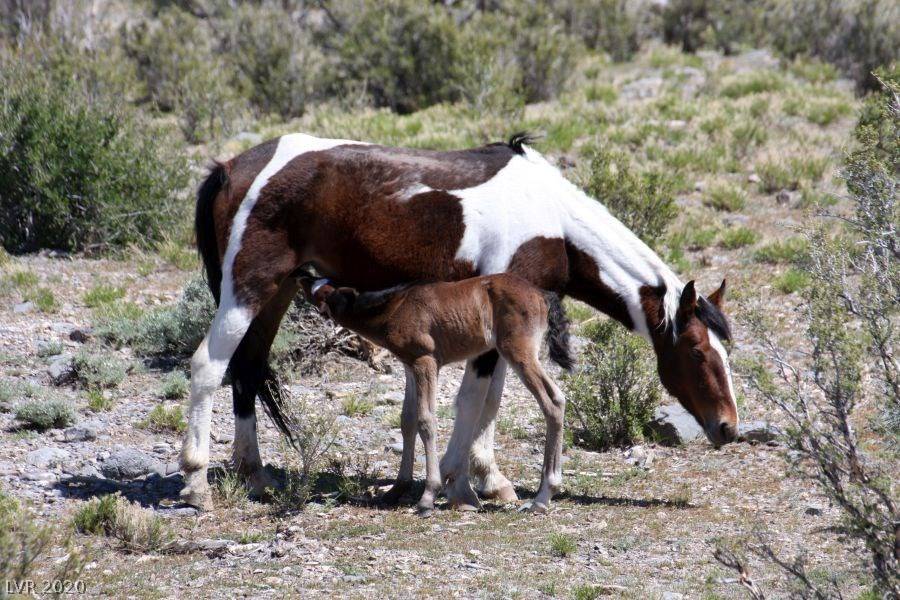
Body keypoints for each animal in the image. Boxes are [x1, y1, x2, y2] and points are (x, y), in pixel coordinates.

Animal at [298, 272, 572, 516]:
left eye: (323, 294)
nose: (304, 278)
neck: (394, 307)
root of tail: (543, 295)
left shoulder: (426, 361)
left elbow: (426, 421)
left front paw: (428, 498)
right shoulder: (409, 365)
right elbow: (407, 420)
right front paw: (397, 489)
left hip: (518, 351)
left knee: (552, 401)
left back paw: (542, 498)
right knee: (557, 399)